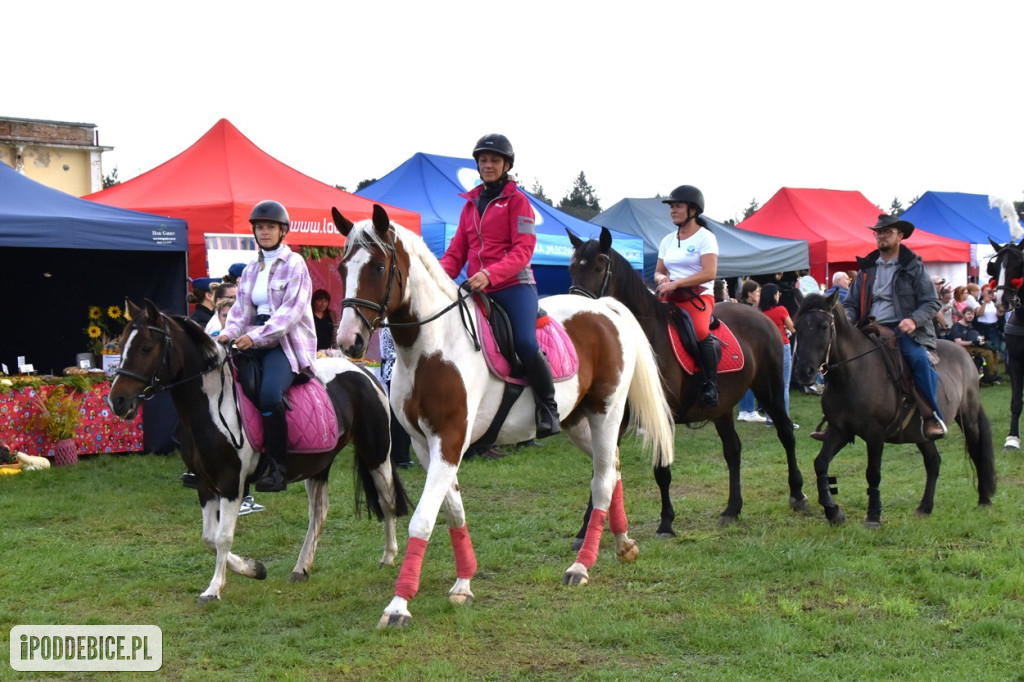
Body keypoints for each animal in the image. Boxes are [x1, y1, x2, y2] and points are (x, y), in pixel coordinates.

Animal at [104, 296, 407, 602]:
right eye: (120, 344)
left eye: (145, 347)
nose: (117, 401)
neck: (211, 404)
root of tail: (364, 371)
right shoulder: (204, 482)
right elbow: (209, 538)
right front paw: (253, 568)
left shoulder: (230, 481)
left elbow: (222, 537)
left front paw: (214, 589)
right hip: (319, 464)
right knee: (319, 512)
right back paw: (301, 568)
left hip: (377, 453)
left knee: (387, 499)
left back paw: (388, 557)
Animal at [331, 205, 675, 626]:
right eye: (342, 268)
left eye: (379, 267)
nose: (349, 342)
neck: (431, 348)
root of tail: (602, 307)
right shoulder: (426, 446)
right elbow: (454, 511)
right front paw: (464, 583)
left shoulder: (449, 440)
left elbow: (424, 518)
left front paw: (398, 605)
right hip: (578, 422)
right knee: (612, 469)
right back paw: (624, 544)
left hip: (605, 414)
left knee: (602, 482)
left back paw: (581, 566)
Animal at [565, 227, 802, 532]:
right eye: (571, 268)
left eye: (598, 267)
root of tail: (761, 316)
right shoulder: (613, 416)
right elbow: (602, 469)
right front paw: (584, 530)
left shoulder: (662, 415)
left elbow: (662, 470)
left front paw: (666, 521)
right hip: (723, 406)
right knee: (733, 450)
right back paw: (732, 508)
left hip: (769, 388)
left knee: (785, 433)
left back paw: (798, 494)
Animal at [786, 288, 995, 522]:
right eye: (797, 328)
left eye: (823, 326)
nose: (804, 372)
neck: (852, 374)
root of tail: (965, 355)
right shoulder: (839, 430)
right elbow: (820, 464)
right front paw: (833, 510)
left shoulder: (875, 434)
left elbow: (873, 474)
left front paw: (873, 516)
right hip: (921, 433)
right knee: (933, 462)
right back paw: (925, 507)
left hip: (968, 417)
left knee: (976, 449)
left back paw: (984, 499)